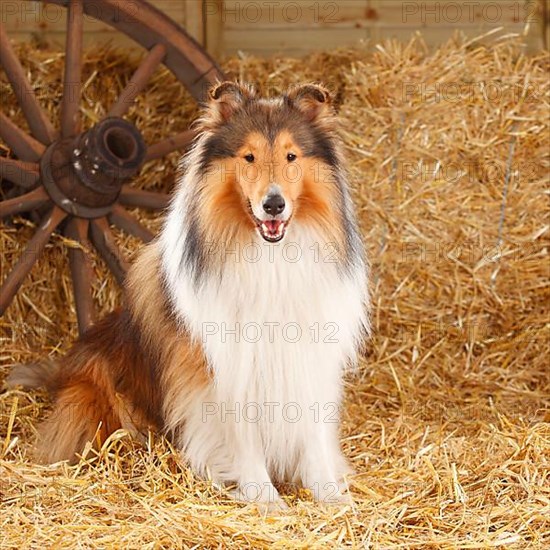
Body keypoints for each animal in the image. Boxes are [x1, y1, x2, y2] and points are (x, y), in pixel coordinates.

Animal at [8, 83, 370, 512]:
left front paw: (332, 498)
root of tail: (61, 371)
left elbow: (312, 437)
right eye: (248, 156)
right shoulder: (225, 368)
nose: (273, 204)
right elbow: (243, 438)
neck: (271, 259)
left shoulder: (310, 360)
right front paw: (265, 500)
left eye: (291, 156)